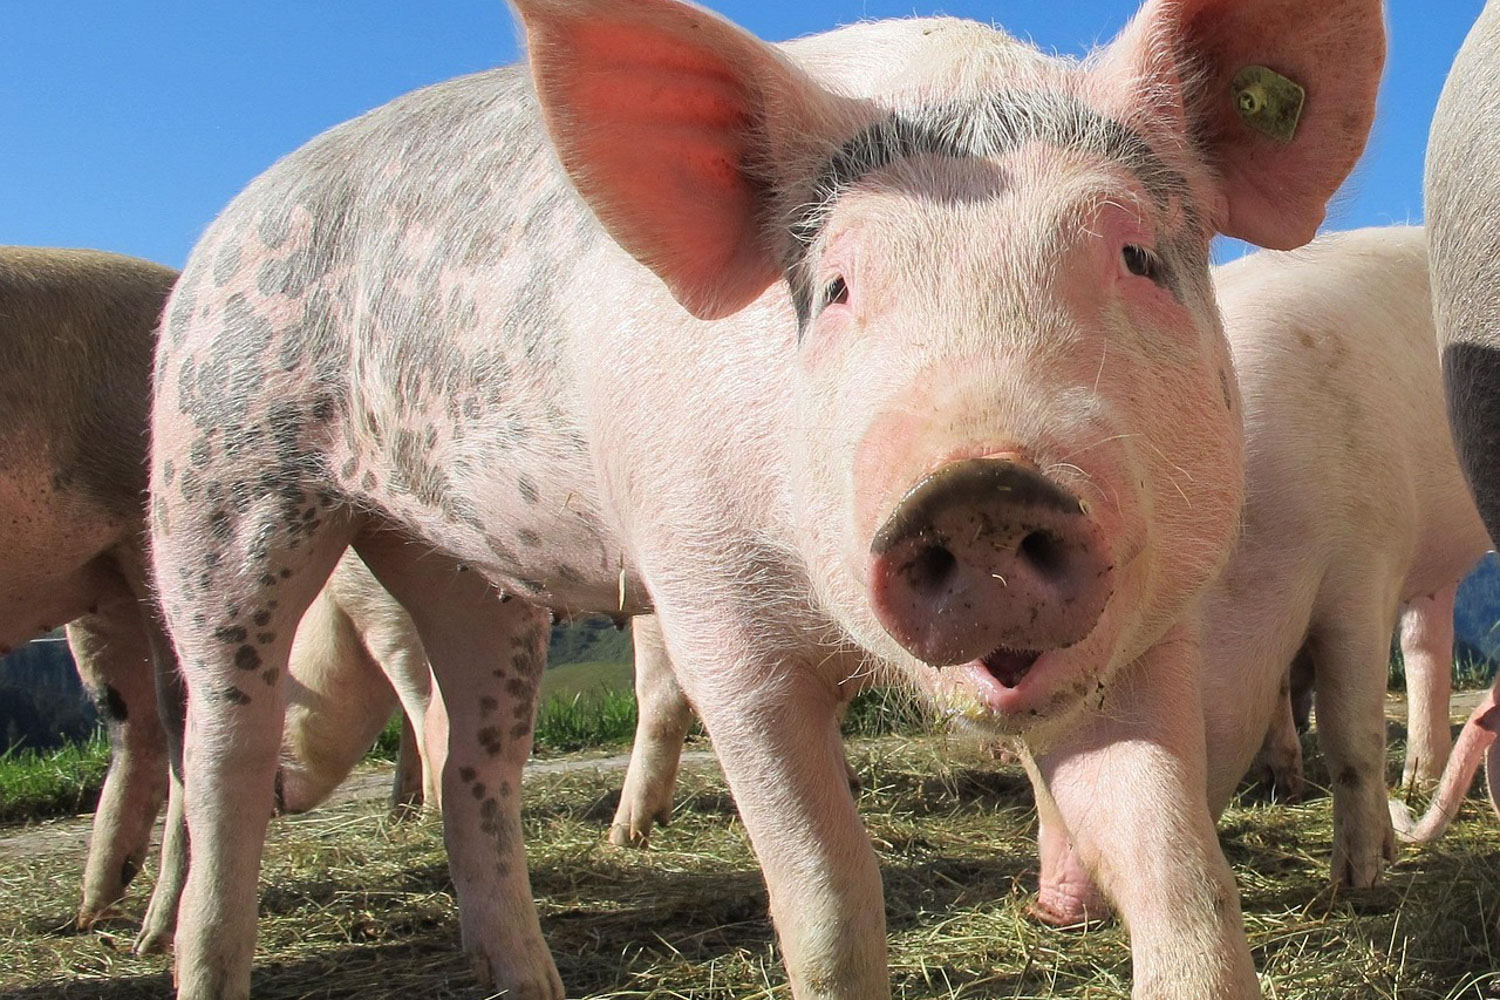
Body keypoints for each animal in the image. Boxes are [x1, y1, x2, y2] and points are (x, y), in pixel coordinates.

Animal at [147, 1, 1382, 997]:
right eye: (834, 287)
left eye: (1134, 256)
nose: (980, 486)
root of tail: (225, 227)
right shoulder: (712, 618)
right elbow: (828, 903)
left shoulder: (1151, 626)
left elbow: (1182, 878)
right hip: (221, 476)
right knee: (222, 762)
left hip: (467, 569)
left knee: (474, 770)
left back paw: (530, 981)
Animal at [1033, 226, 1490, 926]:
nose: (1049, 905)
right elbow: (1278, 693)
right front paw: (1282, 782)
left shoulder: (1365, 566)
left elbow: (1350, 728)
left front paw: (1357, 882)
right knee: (1426, 641)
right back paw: (1415, 780)